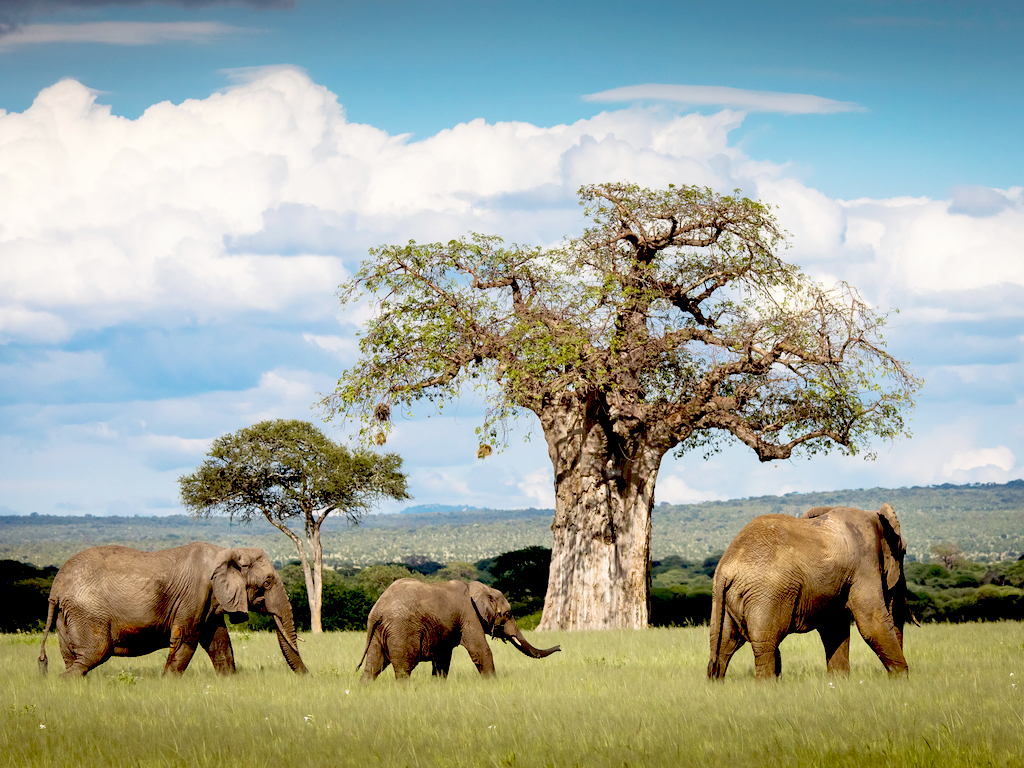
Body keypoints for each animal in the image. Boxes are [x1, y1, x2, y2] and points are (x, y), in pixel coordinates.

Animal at [37, 540, 307, 679]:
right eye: (267, 583)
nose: (308, 676)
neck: (228, 551)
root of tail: (56, 587)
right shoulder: (195, 594)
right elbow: (185, 641)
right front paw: (167, 684)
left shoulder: (209, 600)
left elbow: (219, 642)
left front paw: (229, 681)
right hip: (87, 612)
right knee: (95, 653)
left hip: (66, 615)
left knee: (73, 658)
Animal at [358, 581, 561, 684]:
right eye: (508, 614)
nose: (560, 647)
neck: (480, 588)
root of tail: (377, 611)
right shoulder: (469, 615)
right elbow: (481, 651)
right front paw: (493, 684)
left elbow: (443, 657)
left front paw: (438, 686)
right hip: (401, 630)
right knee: (403, 668)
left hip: (379, 633)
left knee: (374, 665)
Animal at [704, 507, 913, 684]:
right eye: (903, 552)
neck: (874, 517)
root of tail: (725, 567)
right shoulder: (864, 566)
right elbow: (872, 624)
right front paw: (902, 681)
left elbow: (834, 628)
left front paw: (838, 683)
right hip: (766, 594)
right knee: (765, 643)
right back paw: (767, 687)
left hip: (726, 599)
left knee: (724, 643)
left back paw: (717, 685)